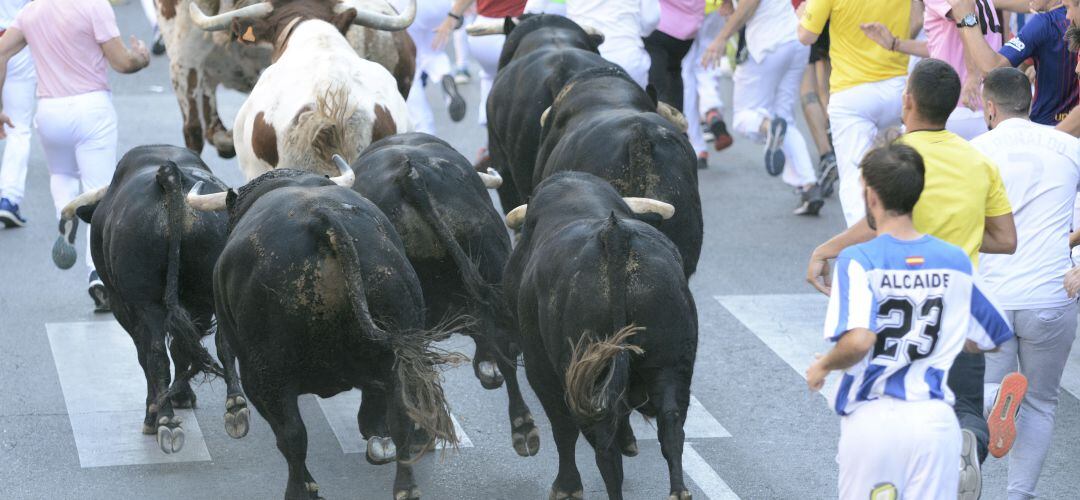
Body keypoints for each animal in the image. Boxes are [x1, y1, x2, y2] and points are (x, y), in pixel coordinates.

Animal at [50, 144, 247, 453]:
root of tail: (170, 175)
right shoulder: (196, 306)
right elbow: (183, 348)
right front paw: (182, 395)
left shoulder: (125, 307)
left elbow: (150, 355)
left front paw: (159, 407)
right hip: (207, 292)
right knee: (218, 342)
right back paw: (235, 406)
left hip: (146, 304)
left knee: (154, 354)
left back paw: (161, 418)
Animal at [210, 170, 460, 498]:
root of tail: (323, 220)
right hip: (398, 346)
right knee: (400, 417)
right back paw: (405, 485)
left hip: (266, 375)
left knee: (292, 435)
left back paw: (300, 490)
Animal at [501, 172, 695, 500]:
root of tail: (614, 236)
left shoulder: (540, 368)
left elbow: (563, 428)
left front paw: (567, 487)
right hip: (672, 366)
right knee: (671, 426)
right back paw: (679, 491)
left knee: (602, 445)